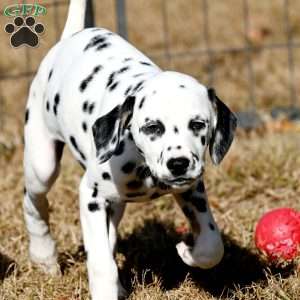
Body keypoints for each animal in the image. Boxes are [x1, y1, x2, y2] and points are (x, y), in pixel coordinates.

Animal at [22, 1, 237, 298]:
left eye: (197, 124)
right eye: (152, 127)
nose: (178, 164)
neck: (142, 162)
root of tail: (71, 37)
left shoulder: (192, 191)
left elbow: (213, 244)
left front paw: (188, 251)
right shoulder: (91, 197)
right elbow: (102, 264)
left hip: (116, 204)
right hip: (42, 165)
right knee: (34, 202)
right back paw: (44, 256)